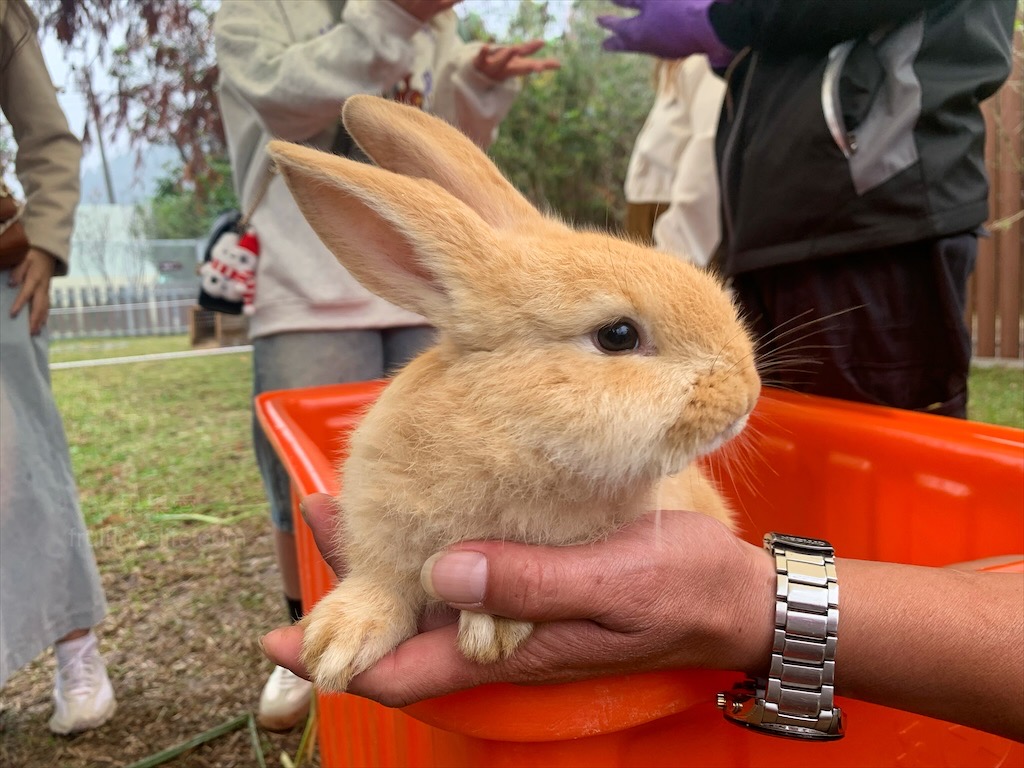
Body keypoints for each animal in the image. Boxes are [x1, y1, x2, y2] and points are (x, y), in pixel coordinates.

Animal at [264, 93, 761, 696]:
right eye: (618, 335)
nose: (747, 397)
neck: (505, 437)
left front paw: (491, 629)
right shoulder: (381, 534)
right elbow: (383, 582)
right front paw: (334, 644)